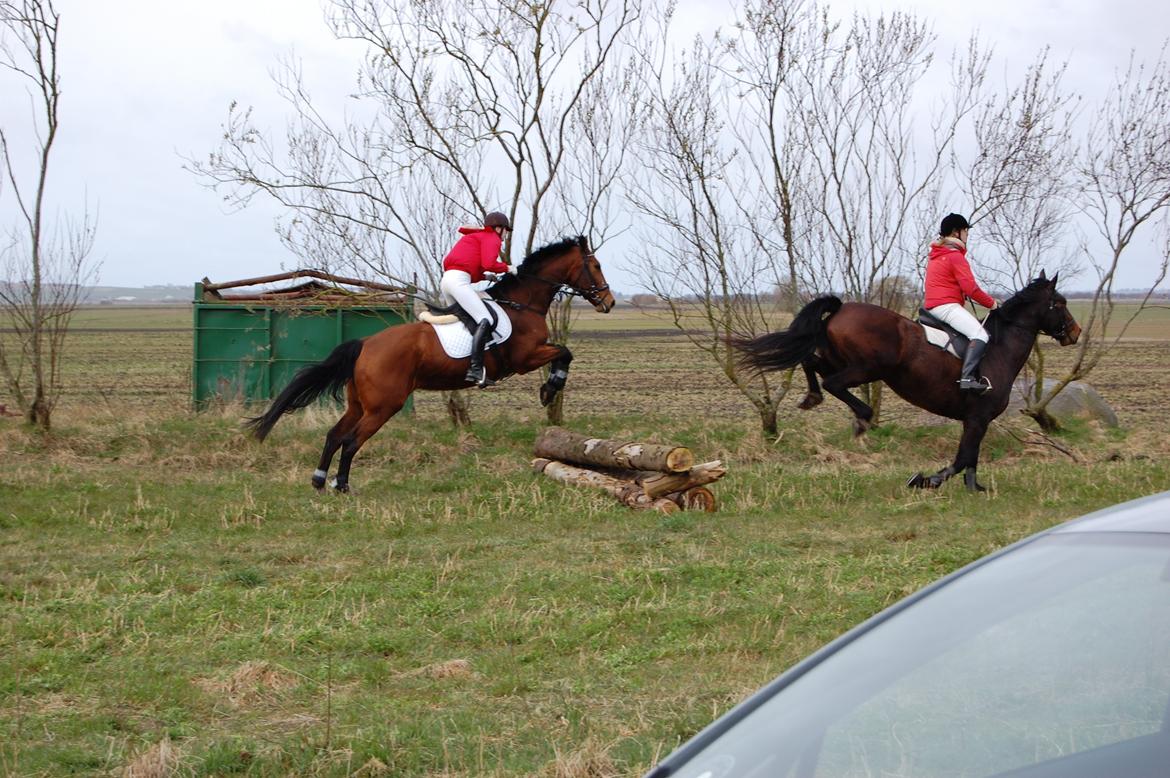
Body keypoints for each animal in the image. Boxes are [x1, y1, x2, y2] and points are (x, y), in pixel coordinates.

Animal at [243, 236, 617, 491]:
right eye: (596, 265)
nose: (610, 302)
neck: (522, 304)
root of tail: (365, 344)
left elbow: (565, 352)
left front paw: (549, 389)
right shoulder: (525, 356)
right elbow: (565, 352)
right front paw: (550, 388)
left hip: (360, 404)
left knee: (335, 435)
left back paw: (320, 480)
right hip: (384, 406)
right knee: (350, 441)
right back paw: (342, 485)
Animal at [734, 272, 1081, 491]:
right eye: (1060, 303)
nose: (1075, 333)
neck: (999, 347)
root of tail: (842, 308)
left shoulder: (976, 420)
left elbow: (970, 459)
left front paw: (974, 488)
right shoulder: (977, 418)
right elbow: (963, 458)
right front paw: (927, 481)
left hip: (839, 359)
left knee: (811, 362)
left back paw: (812, 398)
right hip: (868, 368)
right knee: (835, 384)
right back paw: (862, 418)